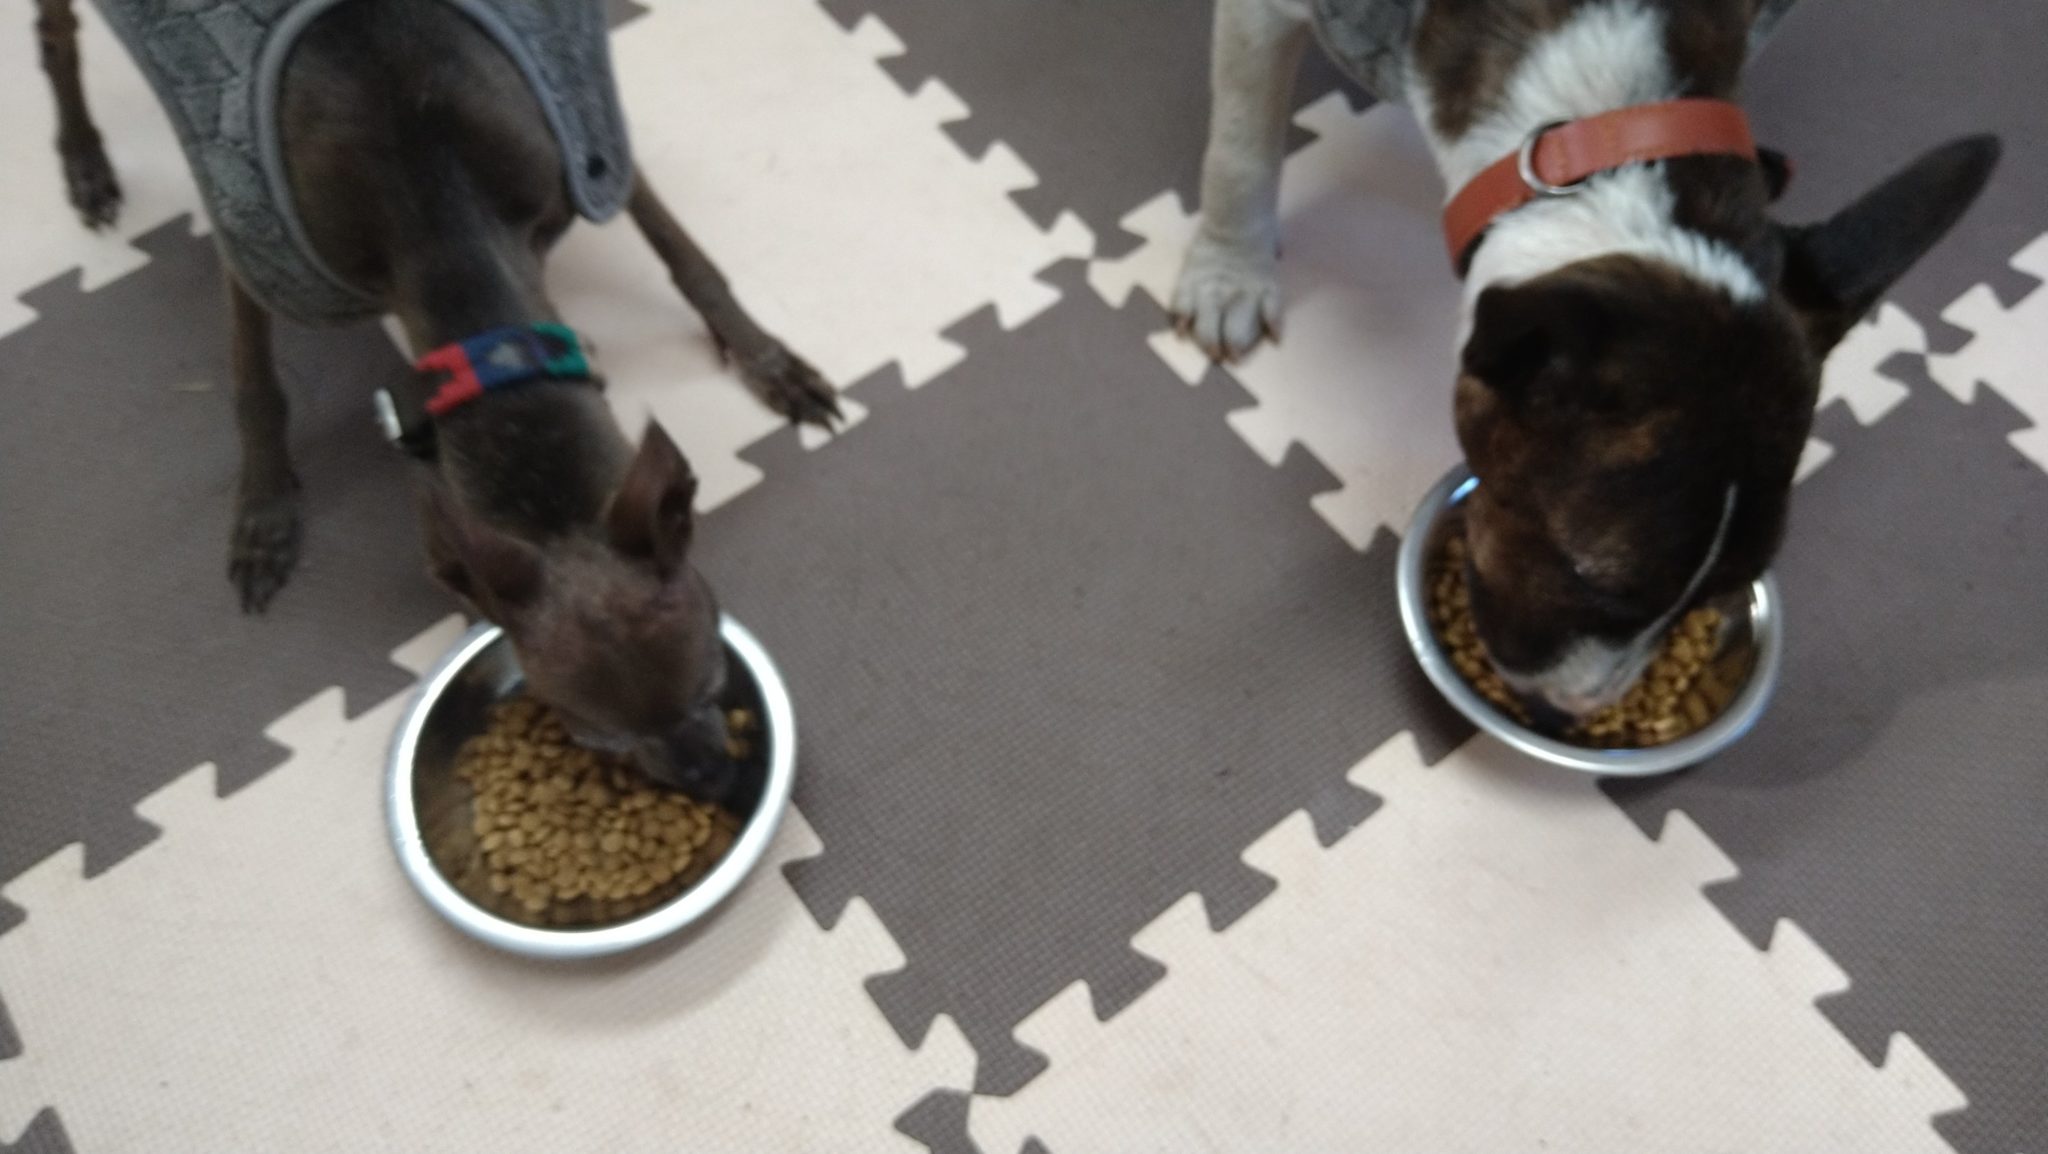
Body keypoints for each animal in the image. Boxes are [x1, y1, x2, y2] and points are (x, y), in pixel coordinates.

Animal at [35, 0, 838, 797]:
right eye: (594, 736)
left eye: (711, 681)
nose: (711, 781)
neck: (436, 203)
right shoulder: (253, 251)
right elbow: (256, 386)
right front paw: (265, 512)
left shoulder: (586, 142)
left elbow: (687, 255)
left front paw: (770, 362)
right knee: (56, 41)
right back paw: (85, 163)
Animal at [1177, 0, 1999, 721]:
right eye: (1589, 578)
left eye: (1721, 593)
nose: (1569, 709)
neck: (1599, 123)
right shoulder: (1267, 17)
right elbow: (1242, 144)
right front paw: (1228, 272)